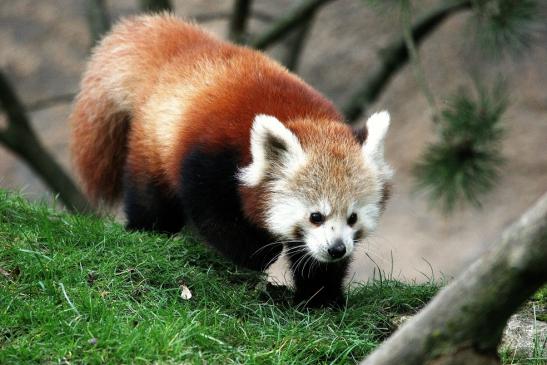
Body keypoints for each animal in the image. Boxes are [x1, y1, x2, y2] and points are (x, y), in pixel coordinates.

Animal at [69, 12, 394, 306]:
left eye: (352, 217)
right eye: (316, 216)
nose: (337, 248)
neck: (305, 119)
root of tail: (181, 54)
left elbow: (314, 262)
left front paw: (321, 297)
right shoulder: (210, 159)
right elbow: (214, 217)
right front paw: (259, 252)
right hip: (153, 142)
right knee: (151, 198)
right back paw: (147, 229)